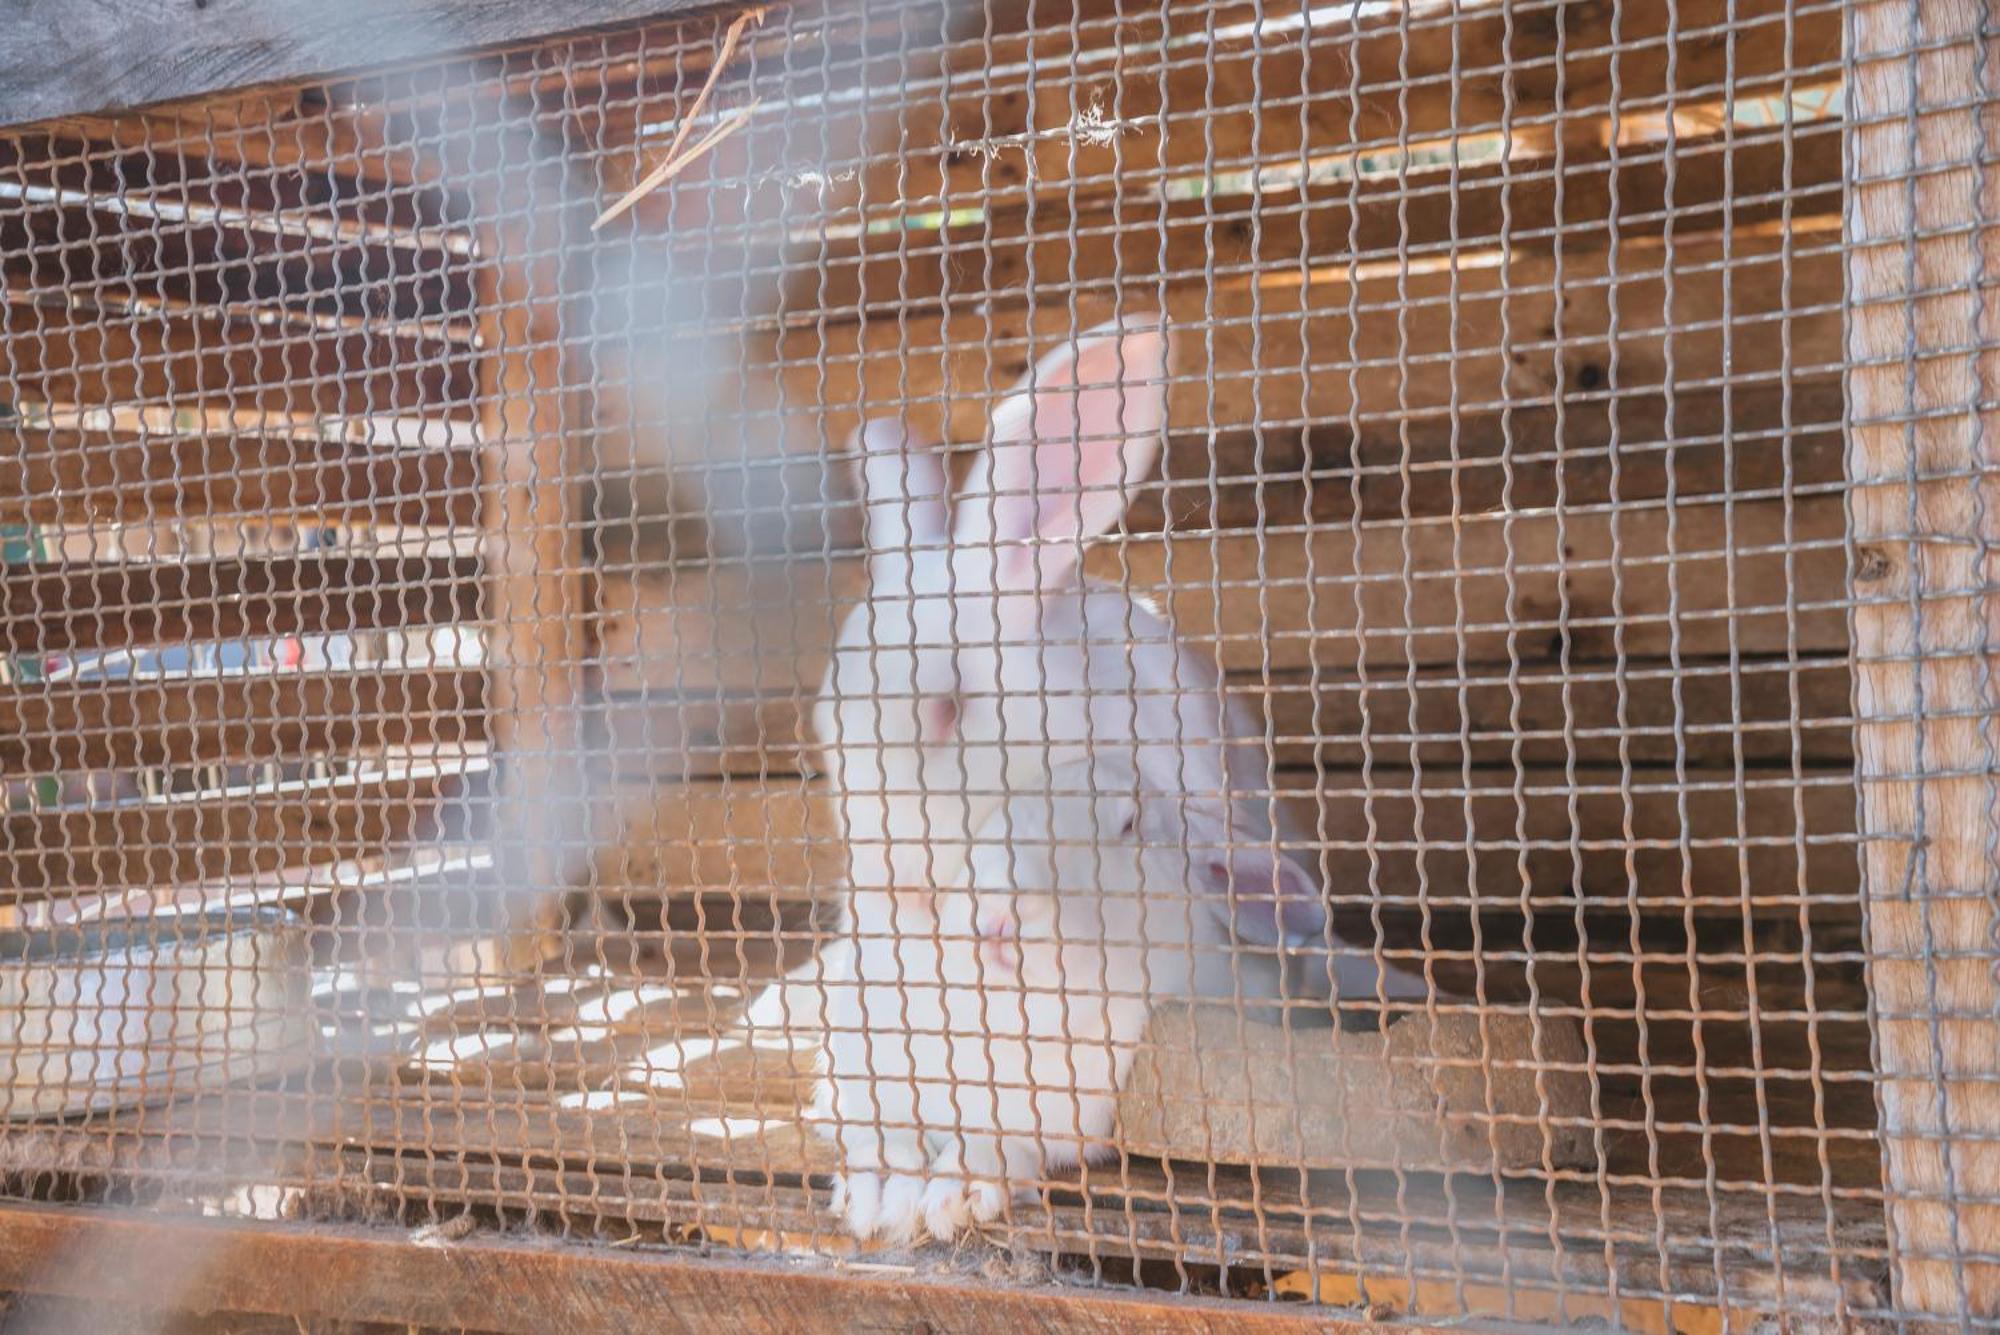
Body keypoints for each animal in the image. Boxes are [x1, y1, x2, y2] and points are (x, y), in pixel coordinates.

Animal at [812, 755, 1312, 1247]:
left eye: (1130, 823)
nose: (1001, 914)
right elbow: (880, 1126)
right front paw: (877, 1196)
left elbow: (1001, 1145)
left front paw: (956, 1194)